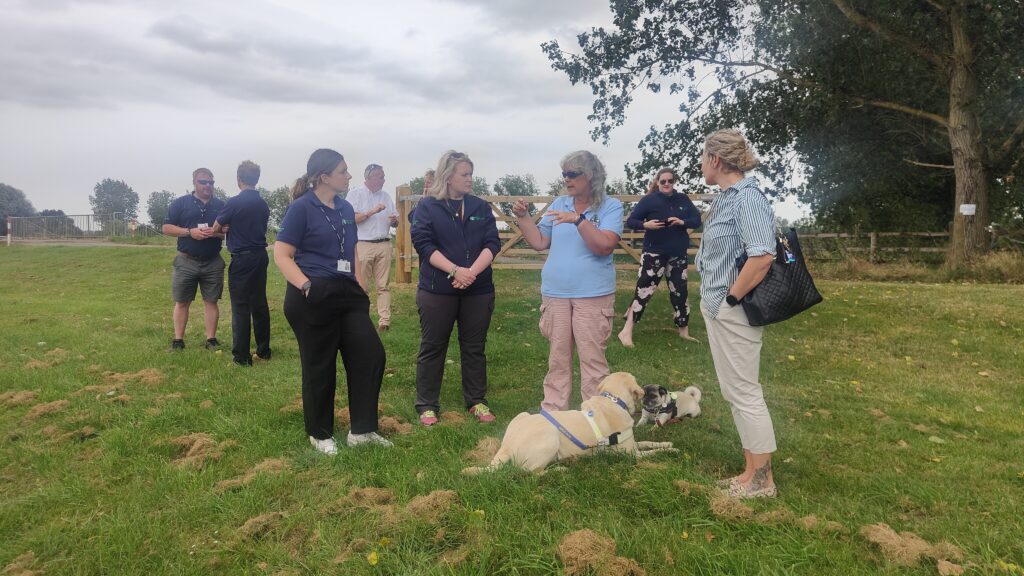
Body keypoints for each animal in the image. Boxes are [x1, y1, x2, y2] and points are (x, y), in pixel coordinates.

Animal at [462, 368, 671, 473]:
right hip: (550, 437)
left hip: (522, 415)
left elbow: (649, 442)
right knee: (530, 472)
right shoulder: (631, 455)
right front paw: (670, 451)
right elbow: (652, 453)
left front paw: (667, 443)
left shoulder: (634, 444)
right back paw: (559, 469)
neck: (612, 400)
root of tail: (506, 446)